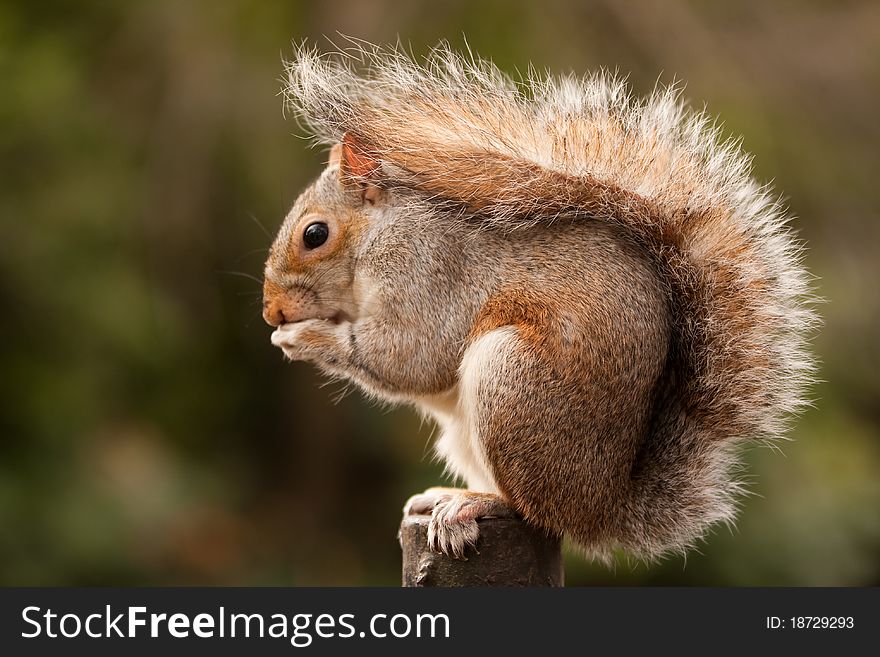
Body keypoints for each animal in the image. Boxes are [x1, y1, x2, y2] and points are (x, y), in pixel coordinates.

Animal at [262, 43, 820, 560]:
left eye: (315, 234)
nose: (272, 311)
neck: (375, 236)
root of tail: (600, 509)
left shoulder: (426, 271)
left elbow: (410, 358)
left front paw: (306, 337)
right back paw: (444, 495)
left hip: (512, 382)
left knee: (533, 510)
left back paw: (473, 504)